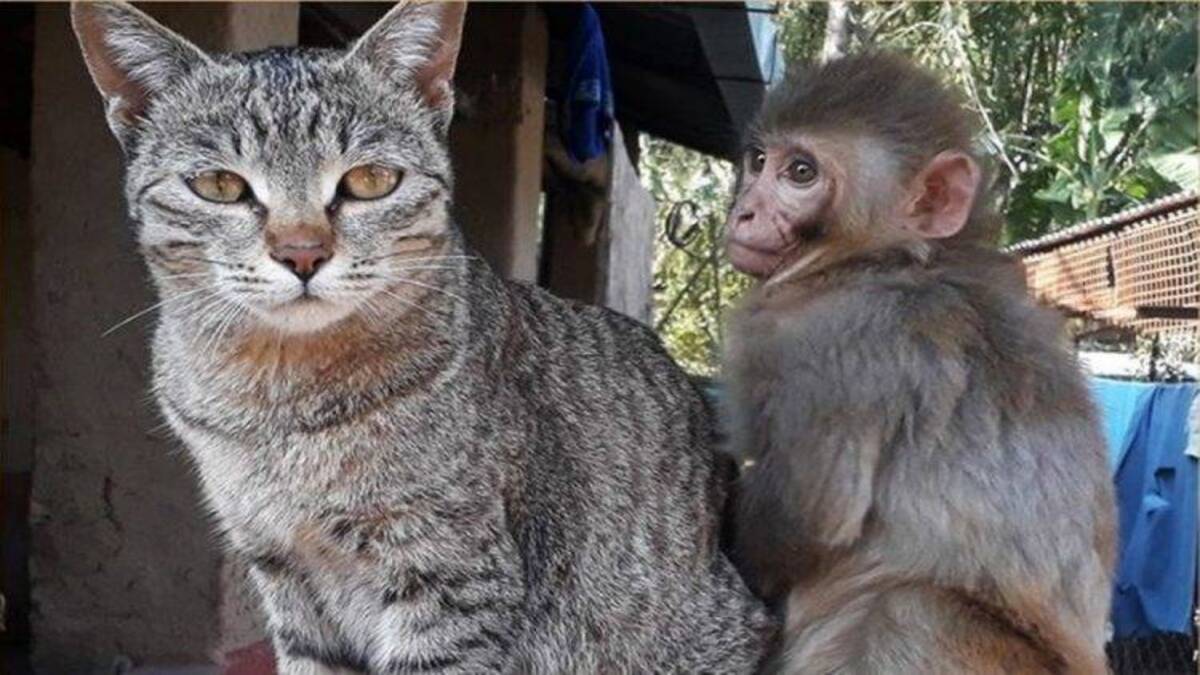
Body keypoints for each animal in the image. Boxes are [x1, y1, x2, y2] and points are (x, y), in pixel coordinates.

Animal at [70, 2, 772, 667]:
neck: (279, 396)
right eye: (218, 185)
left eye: (369, 181)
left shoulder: (450, 574)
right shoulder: (286, 576)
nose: (302, 253)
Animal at [715, 53, 1118, 672]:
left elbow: (813, 511)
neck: (892, 258)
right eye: (759, 162)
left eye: (800, 172)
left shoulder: (834, 335)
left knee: (910, 611)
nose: (745, 211)